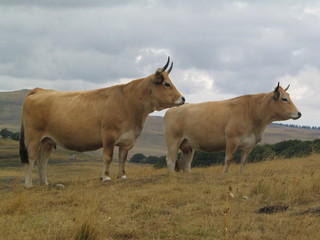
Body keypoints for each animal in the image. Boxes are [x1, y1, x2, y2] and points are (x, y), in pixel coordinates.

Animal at [19, 56, 185, 188]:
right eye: (167, 84)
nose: (183, 98)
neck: (129, 102)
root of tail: (40, 90)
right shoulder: (108, 135)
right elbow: (108, 157)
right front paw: (106, 177)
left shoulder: (127, 140)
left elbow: (122, 158)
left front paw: (122, 176)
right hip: (33, 137)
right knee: (31, 158)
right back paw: (28, 184)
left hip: (47, 140)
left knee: (42, 161)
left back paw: (44, 183)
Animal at [164, 83, 302, 173]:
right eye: (284, 99)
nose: (299, 113)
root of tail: (172, 109)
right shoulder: (232, 139)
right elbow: (228, 159)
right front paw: (224, 174)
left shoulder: (249, 144)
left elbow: (244, 162)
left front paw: (241, 174)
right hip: (173, 141)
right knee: (171, 161)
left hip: (188, 145)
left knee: (185, 164)